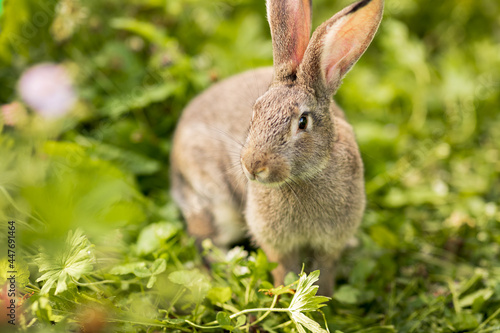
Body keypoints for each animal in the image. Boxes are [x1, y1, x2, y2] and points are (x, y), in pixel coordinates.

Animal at [170, 0, 384, 294]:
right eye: (255, 113)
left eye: (302, 122)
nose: (253, 165)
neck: (303, 178)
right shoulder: (275, 243)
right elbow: (284, 272)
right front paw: (286, 295)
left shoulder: (330, 242)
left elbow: (324, 272)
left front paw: (324, 298)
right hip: (212, 199)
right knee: (205, 240)